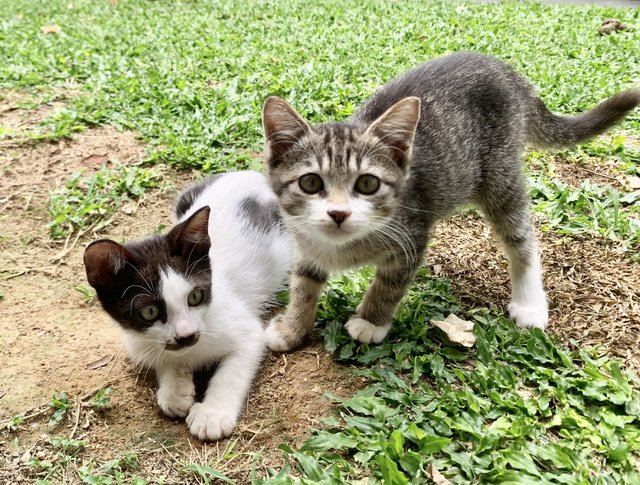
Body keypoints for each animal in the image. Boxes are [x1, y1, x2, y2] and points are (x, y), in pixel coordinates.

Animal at [82, 169, 290, 438]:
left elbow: (233, 370)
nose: (186, 335)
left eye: (195, 297)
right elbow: (162, 356)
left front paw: (213, 413)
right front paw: (175, 389)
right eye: (149, 311)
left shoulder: (247, 330)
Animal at [262, 51, 640, 350]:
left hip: (499, 176)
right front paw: (293, 327)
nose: (338, 213)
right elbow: (303, 283)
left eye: (368, 183)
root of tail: (506, 71)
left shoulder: (412, 234)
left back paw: (529, 303)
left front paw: (370, 320)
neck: (341, 247)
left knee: (522, 238)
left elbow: (390, 283)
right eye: (311, 182)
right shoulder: (305, 241)